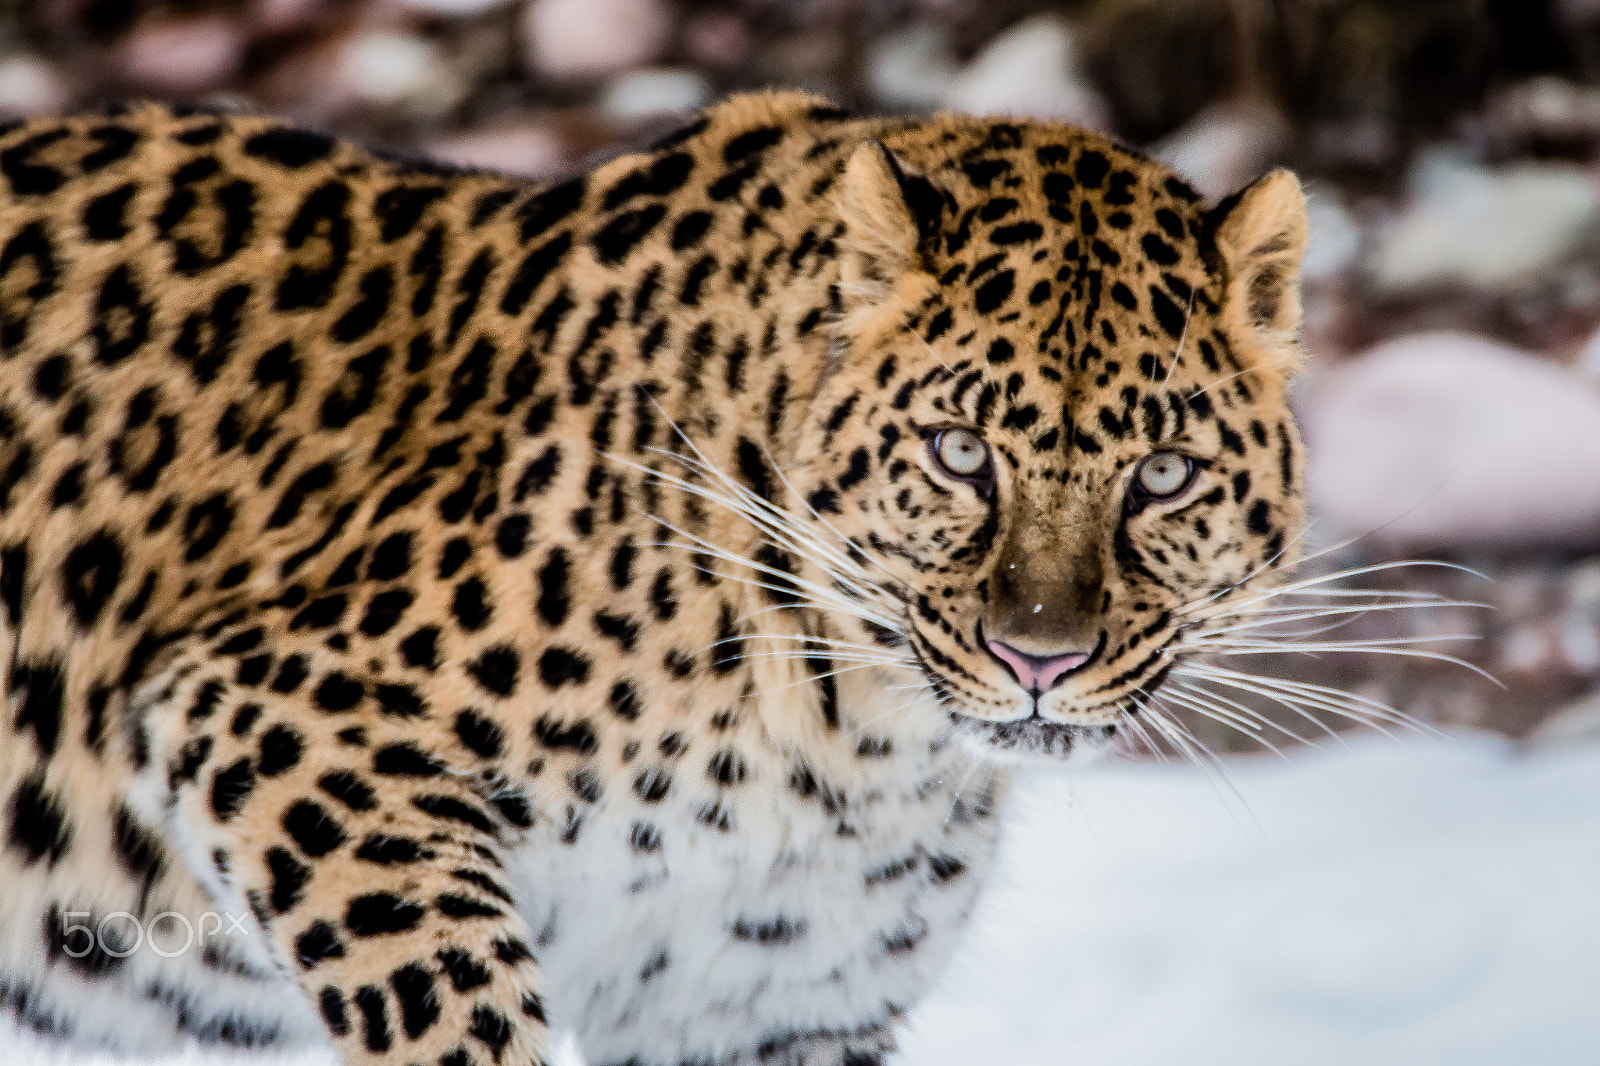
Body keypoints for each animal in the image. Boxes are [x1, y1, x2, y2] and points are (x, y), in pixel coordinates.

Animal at [0, 88, 1310, 1066]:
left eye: (1163, 474)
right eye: (958, 452)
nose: (1040, 656)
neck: (853, 751)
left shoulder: (770, 1004)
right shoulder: (275, 713)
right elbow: (457, 1008)